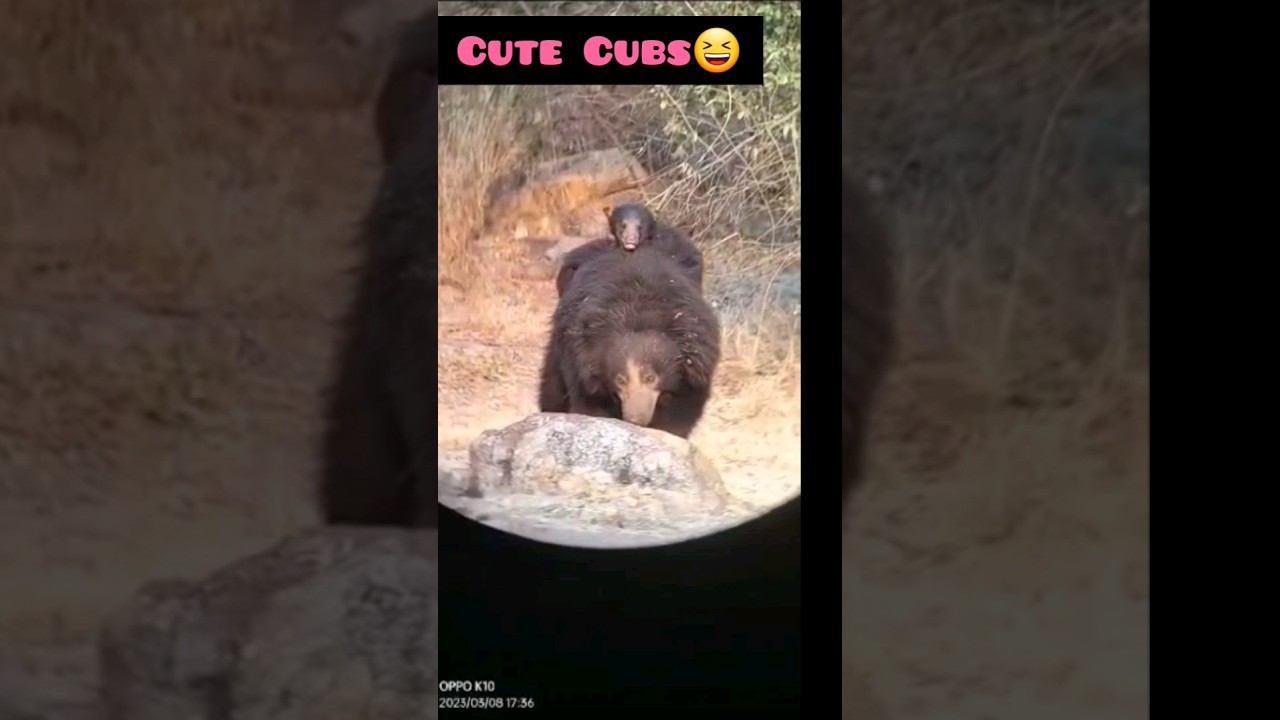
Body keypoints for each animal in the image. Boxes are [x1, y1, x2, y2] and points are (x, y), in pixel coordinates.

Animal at [539, 246, 720, 439]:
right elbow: (590, 403)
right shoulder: (580, 362)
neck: (635, 317)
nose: (635, 420)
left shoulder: (695, 366)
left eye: (650, 378)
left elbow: (683, 412)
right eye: (620, 380)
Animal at [554, 203, 704, 297]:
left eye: (639, 226)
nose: (631, 238)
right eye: (623, 225)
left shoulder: (671, 241)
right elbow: (568, 269)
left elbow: (691, 261)